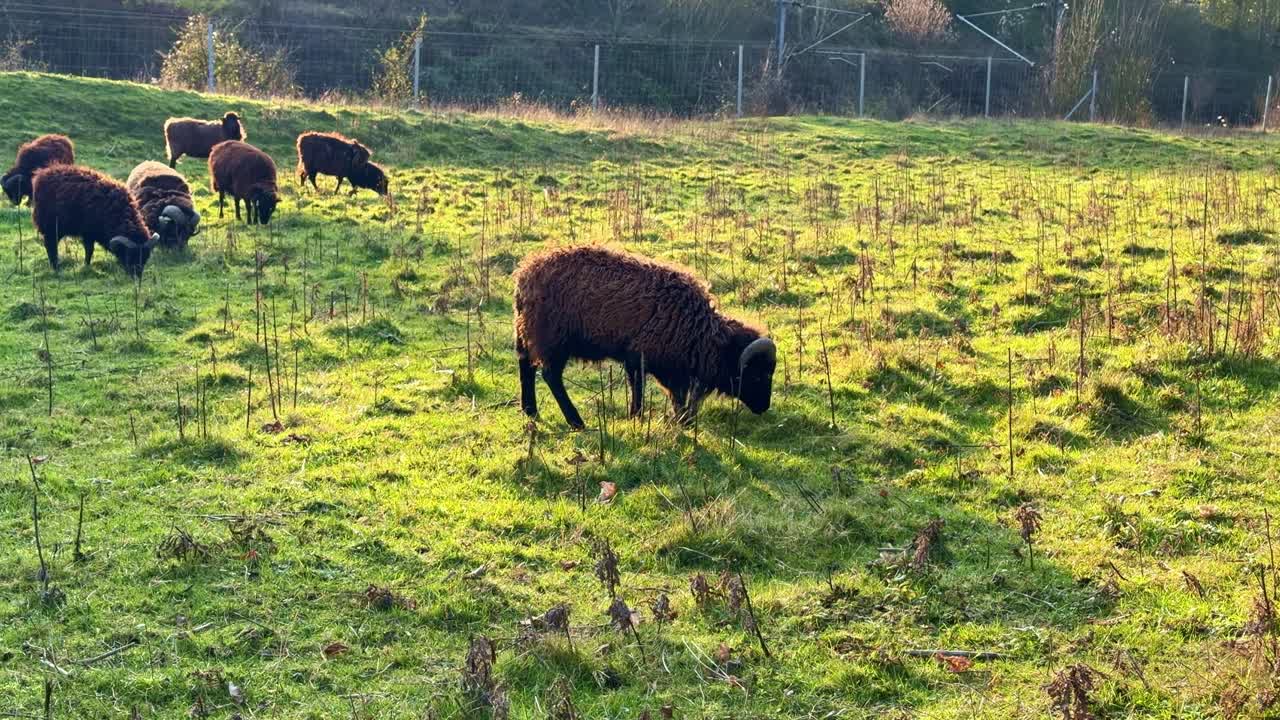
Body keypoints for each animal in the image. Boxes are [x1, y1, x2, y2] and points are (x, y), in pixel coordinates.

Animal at [30, 165, 160, 277]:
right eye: (129, 255)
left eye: (146, 256)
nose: (137, 277)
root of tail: (41, 175)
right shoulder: (88, 233)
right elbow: (89, 250)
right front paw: (86, 265)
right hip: (51, 227)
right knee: (50, 246)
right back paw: (55, 267)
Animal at [513, 245, 777, 430]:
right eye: (756, 375)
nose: (764, 407)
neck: (697, 332)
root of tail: (525, 274)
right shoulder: (638, 358)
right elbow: (640, 390)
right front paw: (636, 418)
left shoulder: (670, 367)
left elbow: (677, 395)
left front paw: (682, 421)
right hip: (552, 338)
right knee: (550, 376)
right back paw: (575, 421)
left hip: (526, 332)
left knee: (525, 365)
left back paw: (531, 411)